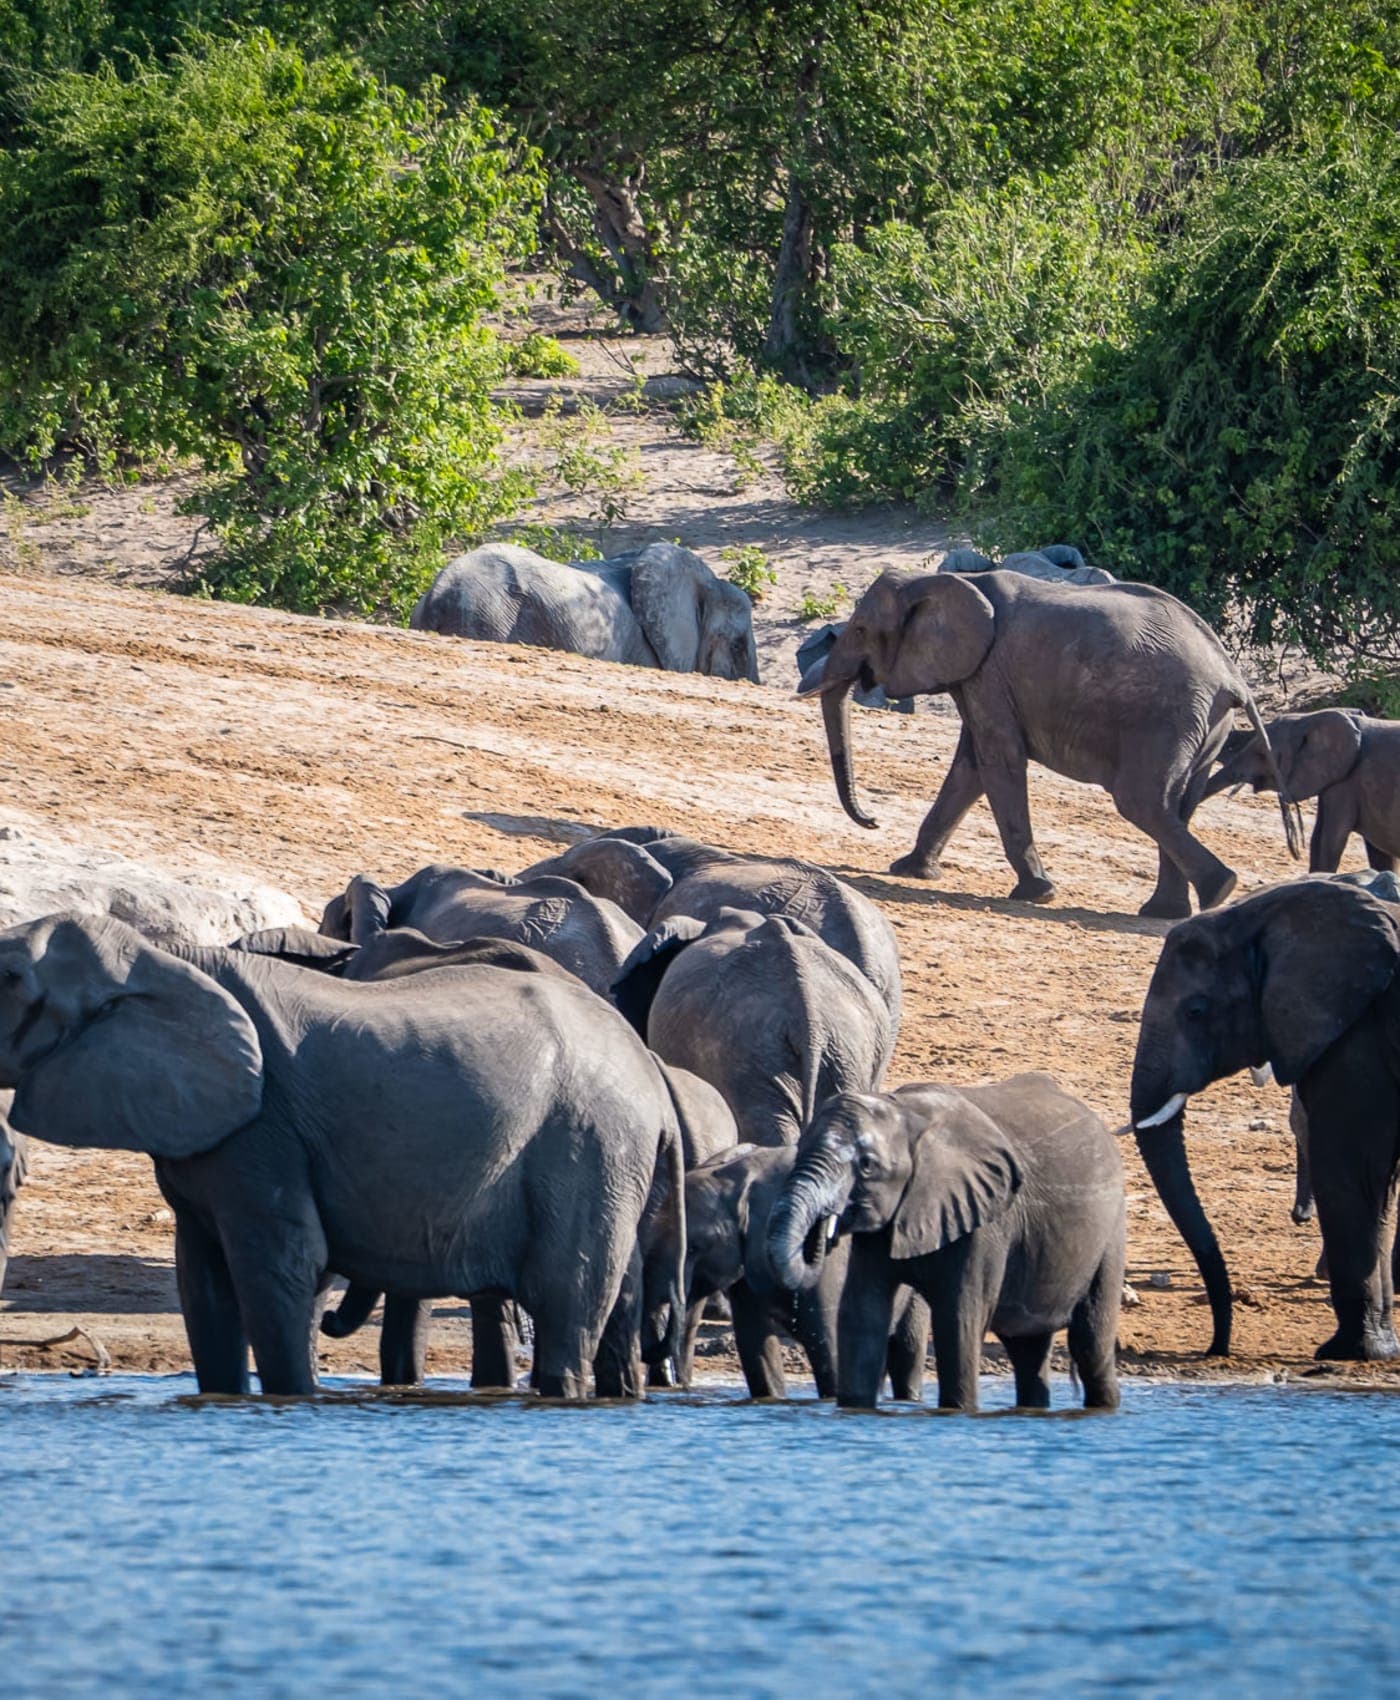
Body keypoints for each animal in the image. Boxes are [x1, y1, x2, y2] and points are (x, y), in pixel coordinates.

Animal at [0, 912, 685, 1398]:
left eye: (8, 979)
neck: (161, 959)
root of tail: (651, 1073)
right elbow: (203, 1281)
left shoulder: (266, 1130)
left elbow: (281, 1266)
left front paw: (296, 1399)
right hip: (611, 1157)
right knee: (618, 1299)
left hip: (589, 1141)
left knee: (568, 1298)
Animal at [767, 1074, 1125, 1411]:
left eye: (867, 1166)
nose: (824, 1233)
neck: (903, 1111)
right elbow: (862, 1315)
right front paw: (855, 1408)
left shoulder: (985, 1221)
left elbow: (958, 1320)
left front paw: (958, 1410)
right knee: (1026, 1348)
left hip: (1111, 1229)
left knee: (1089, 1343)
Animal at [799, 567, 1301, 917]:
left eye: (860, 630)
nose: (873, 821)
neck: (942, 581)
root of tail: (1232, 677)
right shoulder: (980, 676)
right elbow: (971, 768)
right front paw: (910, 870)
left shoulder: (989, 672)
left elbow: (997, 762)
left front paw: (1037, 893)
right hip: (1203, 725)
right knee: (1179, 803)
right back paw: (1171, 910)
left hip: (1166, 717)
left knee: (1140, 800)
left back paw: (1218, 891)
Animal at [1130, 876, 1400, 1360]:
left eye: (1195, 1011)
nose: (1215, 1348)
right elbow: (1381, 1187)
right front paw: (1379, 1351)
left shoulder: (1357, 1033)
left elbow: (1356, 1173)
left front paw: (1346, 1351)